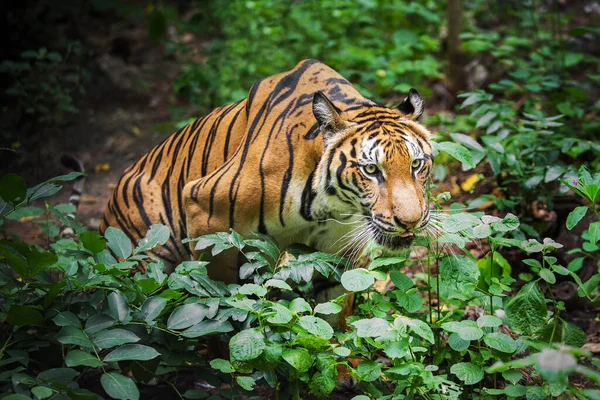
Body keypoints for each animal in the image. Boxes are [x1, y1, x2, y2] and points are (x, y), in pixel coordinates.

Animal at [102, 59, 432, 284]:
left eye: (416, 165)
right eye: (371, 169)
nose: (410, 222)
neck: (328, 207)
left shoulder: (336, 248)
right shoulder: (205, 218)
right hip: (143, 256)